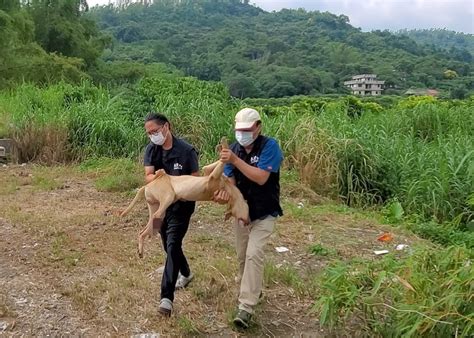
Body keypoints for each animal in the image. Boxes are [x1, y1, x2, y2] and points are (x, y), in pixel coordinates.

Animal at [120, 139, 250, 258]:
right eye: (240, 216)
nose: (247, 222)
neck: (230, 191)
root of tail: (146, 186)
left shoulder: (211, 176)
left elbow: (219, 163)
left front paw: (224, 150)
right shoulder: (210, 174)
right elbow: (218, 162)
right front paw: (223, 148)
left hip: (159, 205)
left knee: (146, 227)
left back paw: (142, 248)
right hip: (167, 196)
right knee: (150, 223)